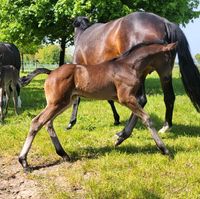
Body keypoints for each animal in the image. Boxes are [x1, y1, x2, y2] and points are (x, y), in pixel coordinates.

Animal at [18, 40, 175, 171]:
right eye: (170, 59)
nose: (168, 78)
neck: (129, 66)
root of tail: (51, 72)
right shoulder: (126, 98)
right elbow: (147, 118)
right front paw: (165, 150)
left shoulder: (131, 98)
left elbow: (139, 115)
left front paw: (120, 138)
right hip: (57, 103)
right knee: (37, 122)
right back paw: (24, 161)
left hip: (63, 103)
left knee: (48, 123)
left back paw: (63, 154)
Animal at [67, 11, 200, 145]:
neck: (83, 33)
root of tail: (164, 22)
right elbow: (108, 98)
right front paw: (116, 119)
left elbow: (77, 97)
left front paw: (71, 122)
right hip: (165, 73)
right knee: (169, 97)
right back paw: (166, 127)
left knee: (141, 100)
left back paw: (122, 134)